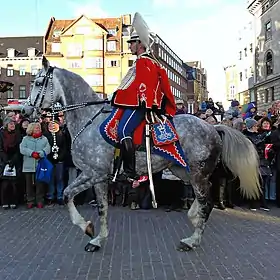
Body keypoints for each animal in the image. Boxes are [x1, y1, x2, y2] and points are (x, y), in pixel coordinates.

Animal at [23, 58, 262, 253]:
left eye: (38, 82)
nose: (25, 111)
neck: (88, 119)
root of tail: (214, 127)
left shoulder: (93, 173)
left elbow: (66, 194)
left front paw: (87, 228)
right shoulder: (99, 178)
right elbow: (101, 208)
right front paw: (98, 239)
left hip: (196, 173)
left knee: (207, 201)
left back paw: (192, 240)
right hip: (182, 170)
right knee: (203, 197)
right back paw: (193, 219)